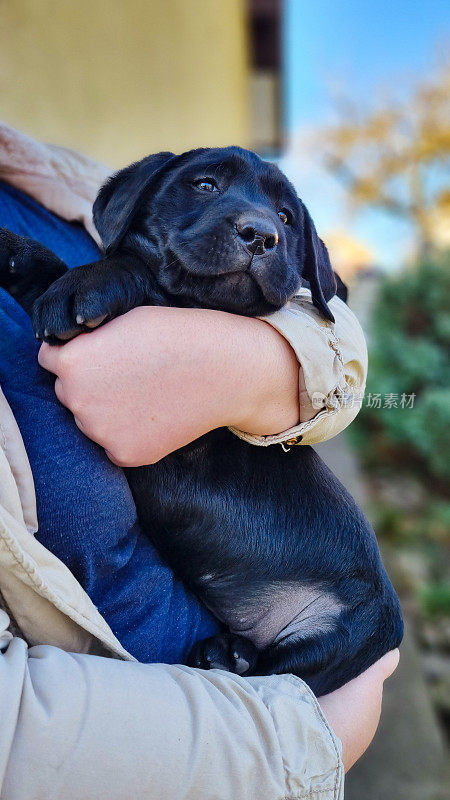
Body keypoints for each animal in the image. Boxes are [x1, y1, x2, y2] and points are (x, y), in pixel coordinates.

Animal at [0, 147, 404, 696]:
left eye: (286, 218)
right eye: (206, 185)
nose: (261, 234)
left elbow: (142, 275)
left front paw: (93, 280)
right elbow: (49, 268)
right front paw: (11, 250)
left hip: (344, 636)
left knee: (283, 673)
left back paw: (228, 658)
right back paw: (230, 651)